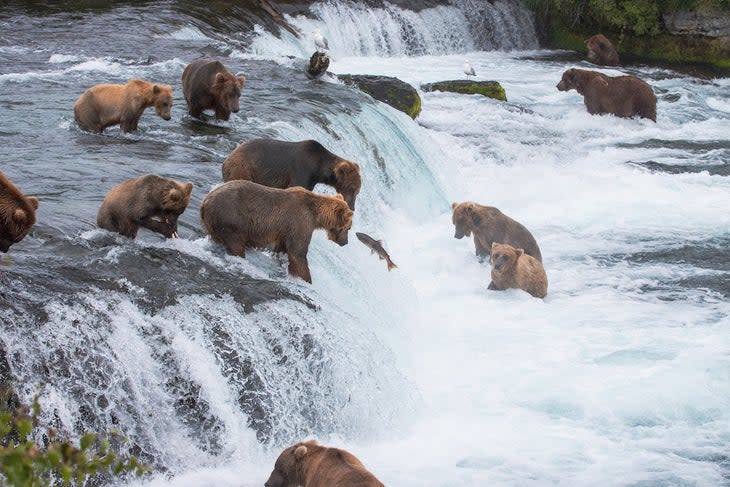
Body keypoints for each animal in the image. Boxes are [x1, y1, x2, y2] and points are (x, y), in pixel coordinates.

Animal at [199, 181, 352, 284]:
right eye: (349, 228)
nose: (345, 242)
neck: (315, 214)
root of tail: (205, 202)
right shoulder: (300, 221)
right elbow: (298, 252)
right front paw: (306, 279)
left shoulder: (286, 230)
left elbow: (282, 249)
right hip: (232, 219)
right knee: (235, 242)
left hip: (213, 223)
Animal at [220, 139, 360, 212]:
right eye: (353, 189)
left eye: (357, 191)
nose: (352, 207)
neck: (318, 169)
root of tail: (227, 158)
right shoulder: (302, 171)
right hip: (244, 169)